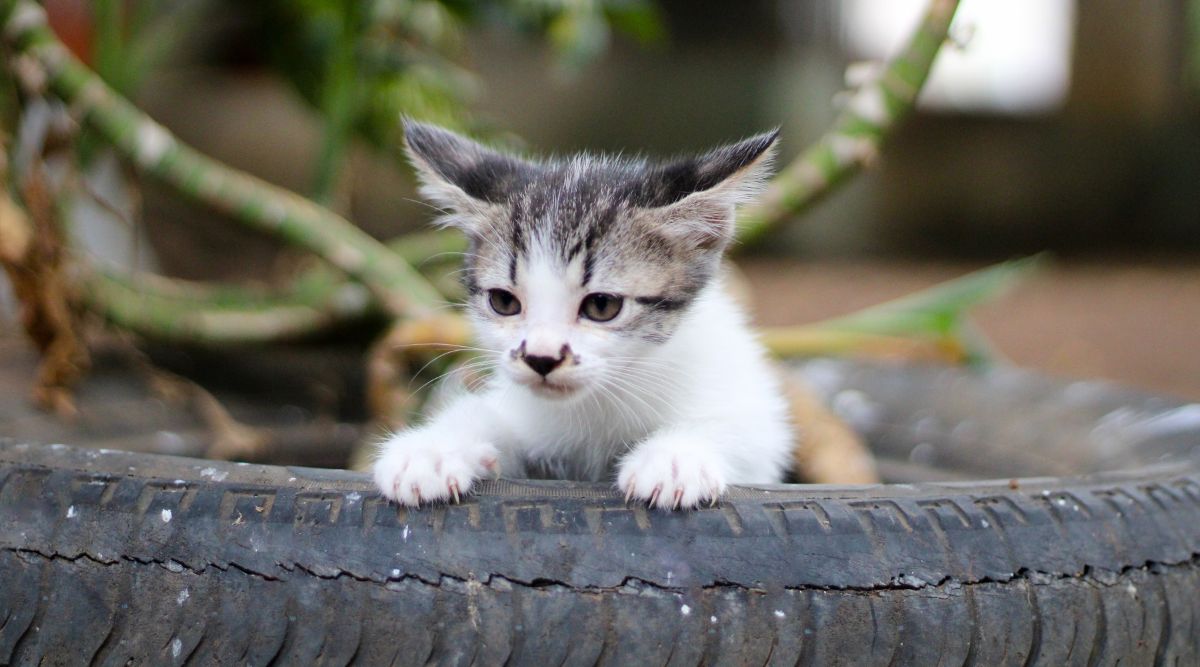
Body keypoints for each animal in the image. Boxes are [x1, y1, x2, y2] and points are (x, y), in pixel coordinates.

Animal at [369, 121, 792, 511]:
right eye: (504, 302)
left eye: (601, 306)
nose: (540, 358)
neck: (601, 405)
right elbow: (486, 415)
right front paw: (429, 451)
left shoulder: (749, 412)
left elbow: (742, 430)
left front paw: (674, 459)